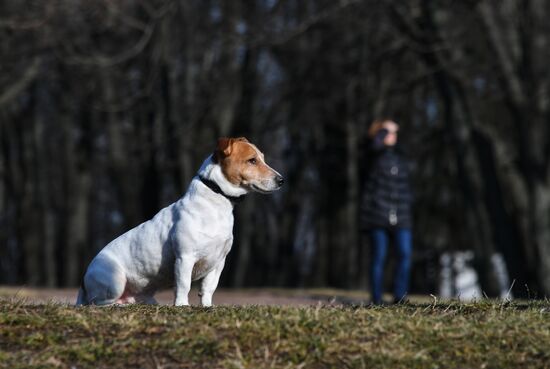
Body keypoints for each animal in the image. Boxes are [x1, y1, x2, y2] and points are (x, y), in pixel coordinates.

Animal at [76, 137, 284, 306]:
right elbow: (183, 285)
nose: (281, 180)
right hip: (115, 281)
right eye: (252, 160)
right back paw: (118, 305)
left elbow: (209, 288)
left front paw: (207, 307)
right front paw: (182, 306)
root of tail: (84, 280)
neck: (216, 201)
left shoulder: (218, 262)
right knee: (98, 303)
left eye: (262, 158)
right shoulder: (185, 257)